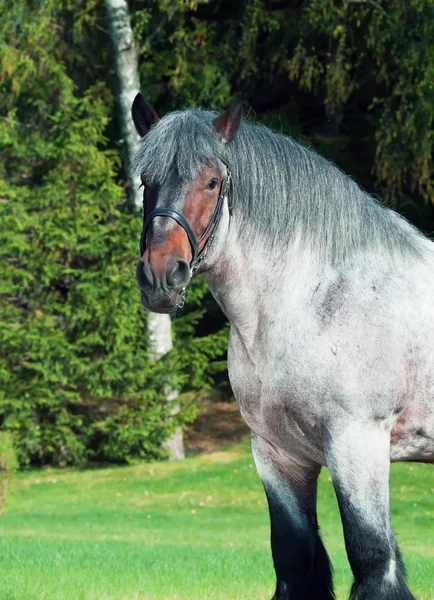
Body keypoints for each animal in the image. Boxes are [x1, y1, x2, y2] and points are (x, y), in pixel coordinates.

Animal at [131, 94, 434, 600]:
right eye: (145, 181)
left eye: (212, 182)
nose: (161, 276)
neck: (308, 299)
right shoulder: (278, 452)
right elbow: (295, 559)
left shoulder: (358, 444)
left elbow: (374, 559)